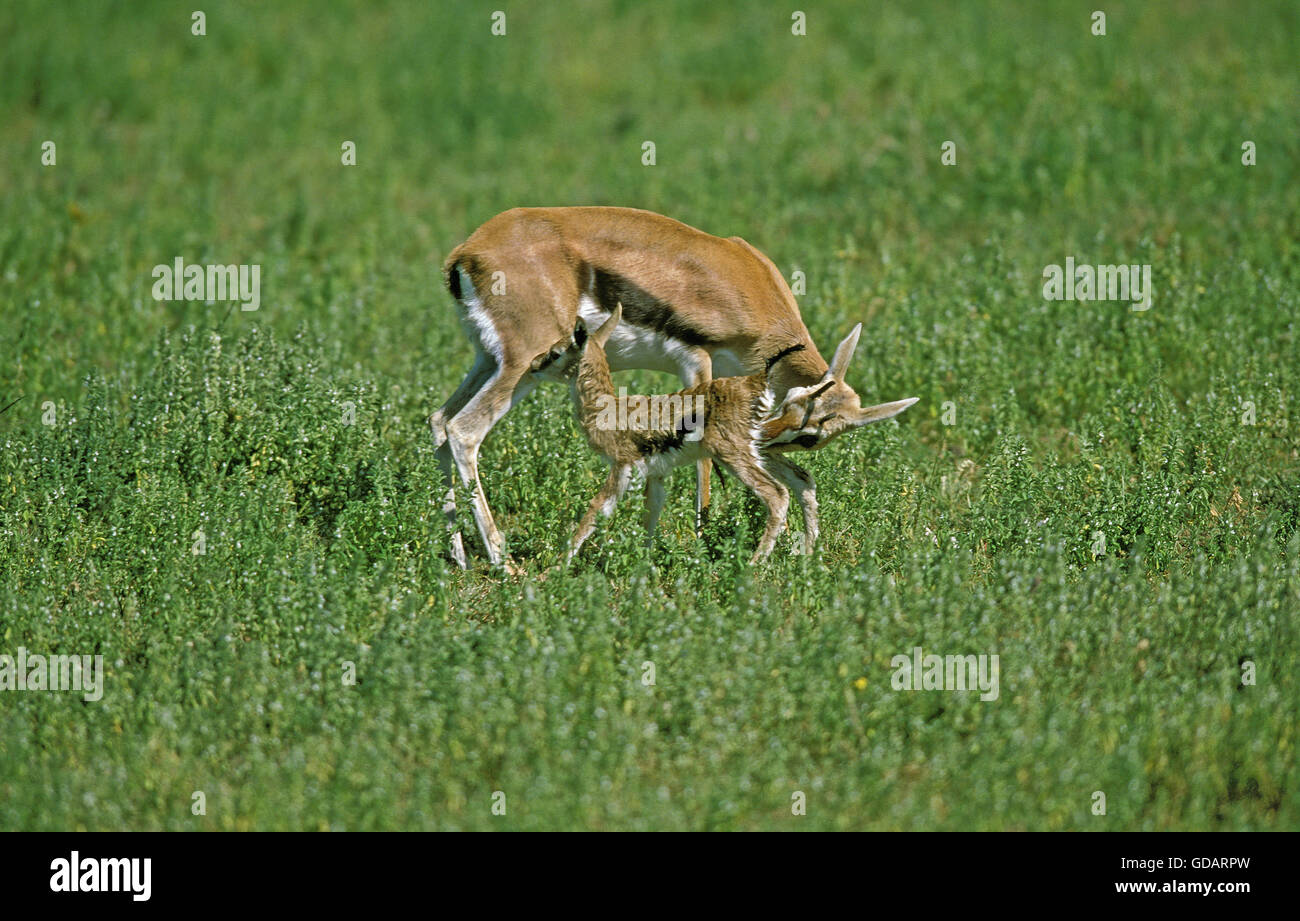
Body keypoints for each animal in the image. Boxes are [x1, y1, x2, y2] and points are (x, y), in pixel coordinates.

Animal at [527, 305, 915, 561]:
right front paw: (645, 563)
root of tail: (757, 381)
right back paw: (804, 557)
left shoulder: (622, 468)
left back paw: (755, 567)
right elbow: (651, 514)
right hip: (760, 451)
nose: (532, 365)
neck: (605, 406)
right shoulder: (656, 474)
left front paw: (555, 569)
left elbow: (593, 512)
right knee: (802, 482)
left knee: (777, 495)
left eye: (557, 351)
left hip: (734, 455)